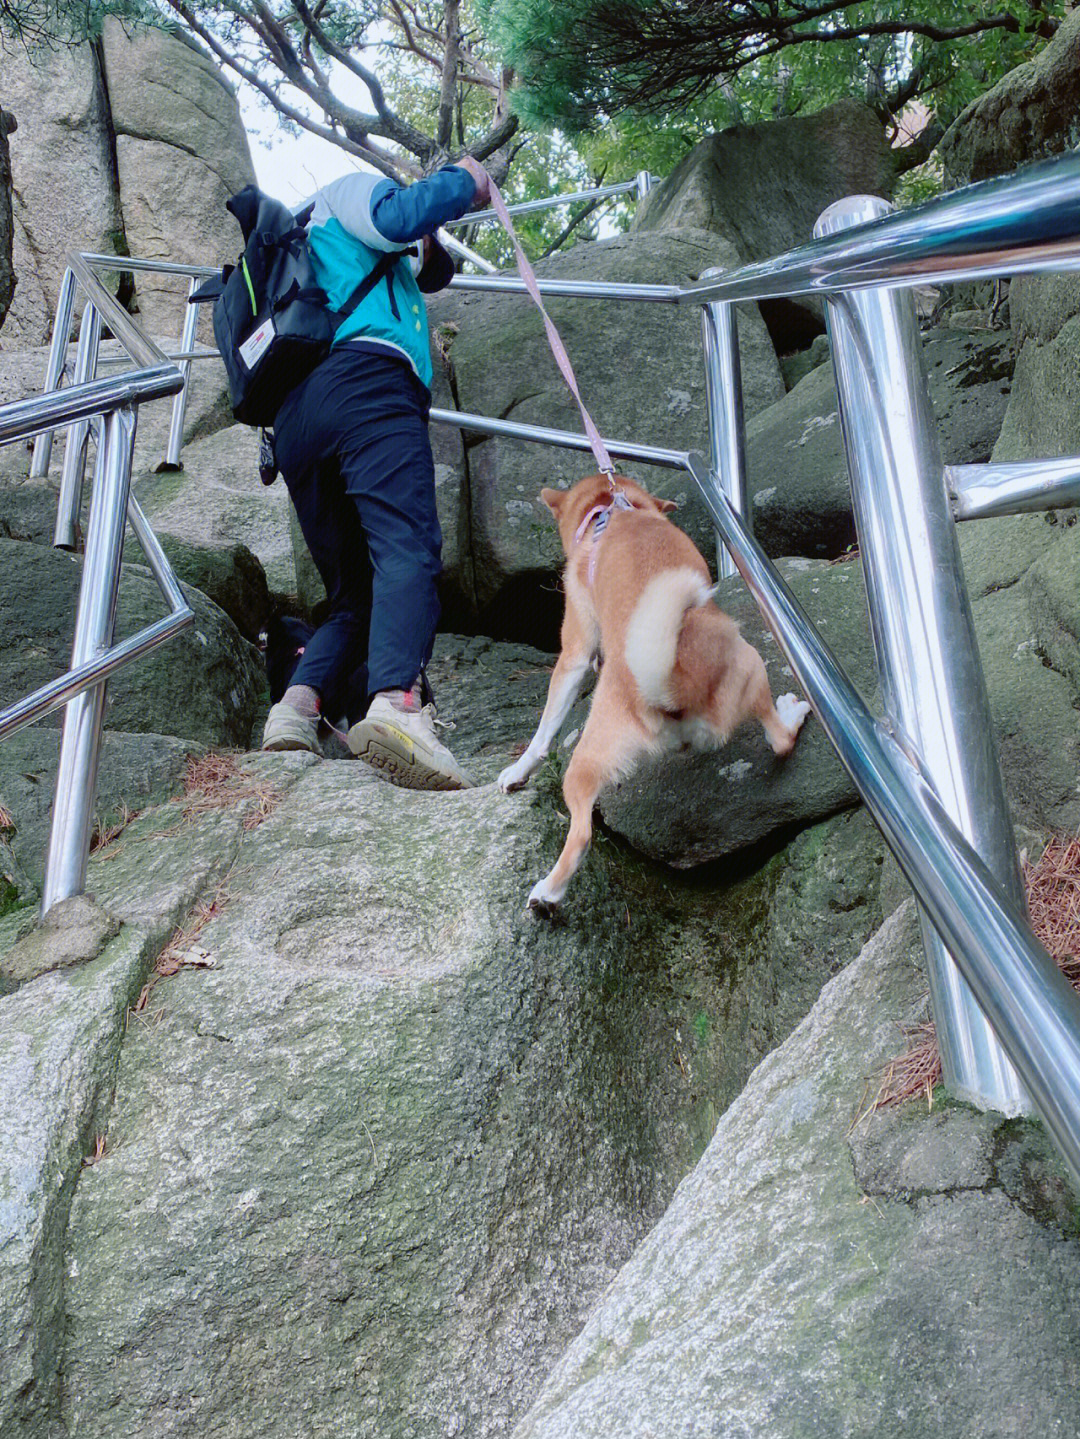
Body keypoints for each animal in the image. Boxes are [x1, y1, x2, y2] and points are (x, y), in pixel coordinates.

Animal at [497, 471, 811, 909]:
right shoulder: (576, 651)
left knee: (581, 832)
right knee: (780, 740)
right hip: (749, 662)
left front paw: (518, 769)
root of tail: (668, 690)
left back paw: (546, 893)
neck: (613, 510)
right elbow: (545, 729)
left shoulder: (575, 650)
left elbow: (544, 729)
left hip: (582, 764)